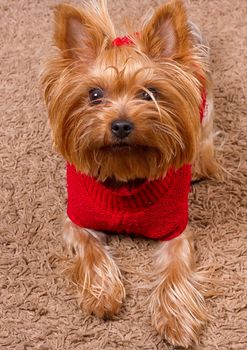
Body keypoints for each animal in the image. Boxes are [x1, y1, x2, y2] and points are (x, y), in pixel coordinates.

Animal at [42, 0, 220, 348]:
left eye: (149, 93)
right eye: (95, 94)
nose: (121, 125)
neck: (125, 171)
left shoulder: (176, 229)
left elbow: (175, 268)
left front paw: (176, 320)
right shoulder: (78, 220)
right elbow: (91, 250)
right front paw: (103, 296)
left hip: (204, 111)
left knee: (204, 136)